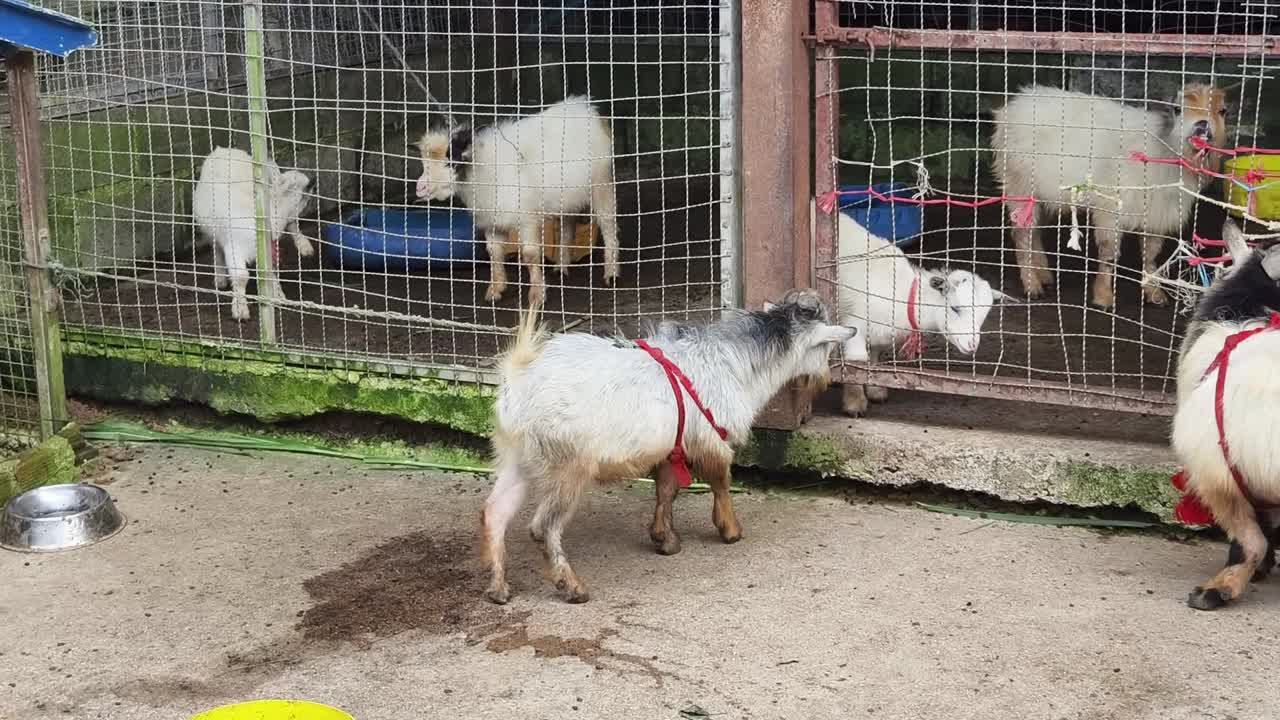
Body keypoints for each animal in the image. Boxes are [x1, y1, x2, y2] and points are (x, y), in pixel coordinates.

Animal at [191, 147, 313, 321]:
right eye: (288, 185)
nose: (312, 182)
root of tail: (222, 150)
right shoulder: (235, 247)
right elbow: (241, 276)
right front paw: (240, 310)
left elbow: (270, 271)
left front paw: (278, 296)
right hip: (211, 231)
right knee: (216, 249)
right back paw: (220, 279)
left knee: (293, 225)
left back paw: (305, 247)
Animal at [415, 96, 620, 307]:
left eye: (451, 161)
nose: (419, 188)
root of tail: (586, 108)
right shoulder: (492, 221)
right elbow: (494, 253)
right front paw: (496, 289)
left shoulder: (527, 219)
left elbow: (530, 254)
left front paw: (537, 295)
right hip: (568, 196)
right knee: (567, 226)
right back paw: (561, 267)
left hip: (602, 183)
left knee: (608, 225)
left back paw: (611, 274)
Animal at [480, 288, 854, 604]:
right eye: (825, 347)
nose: (824, 380)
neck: (735, 364)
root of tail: (519, 380)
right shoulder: (711, 439)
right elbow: (721, 481)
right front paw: (730, 530)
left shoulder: (673, 444)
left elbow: (666, 489)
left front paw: (665, 538)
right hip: (567, 464)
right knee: (543, 527)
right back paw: (571, 586)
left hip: (516, 457)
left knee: (495, 511)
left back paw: (498, 588)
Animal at [813, 202, 1008, 417]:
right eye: (955, 308)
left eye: (984, 316)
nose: (972, 345)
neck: (904, 296)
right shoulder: (855, 324)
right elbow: (857, 364)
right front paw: (855, 403)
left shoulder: (878, 334)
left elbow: (873, 360)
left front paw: (876, 391)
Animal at [990, 83, 1227, 308]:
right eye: (1178, 109)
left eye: (1223, 111)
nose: (1202, 125)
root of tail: (1009, 110)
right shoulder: (1111, 208)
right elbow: (1108, 253)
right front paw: (1103, 297)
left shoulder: (1157, 213)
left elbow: (1151, 254)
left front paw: (1154, 293)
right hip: (1018, 185)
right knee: (1021, 235)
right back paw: (1032, 286)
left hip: (1042, 195)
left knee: (1035, 232)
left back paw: (1044, 274)